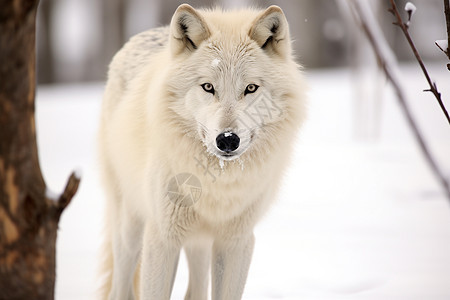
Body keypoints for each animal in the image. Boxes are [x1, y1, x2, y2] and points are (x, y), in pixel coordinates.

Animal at [98, 2, 306, 300]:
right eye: (208, 87)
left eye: (250, 88)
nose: (228, 140)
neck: (217, 185)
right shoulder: (162, 238)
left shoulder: (236, 243)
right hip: (130, 227)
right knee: (119, 287)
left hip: (199, 243)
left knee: (195, 289)